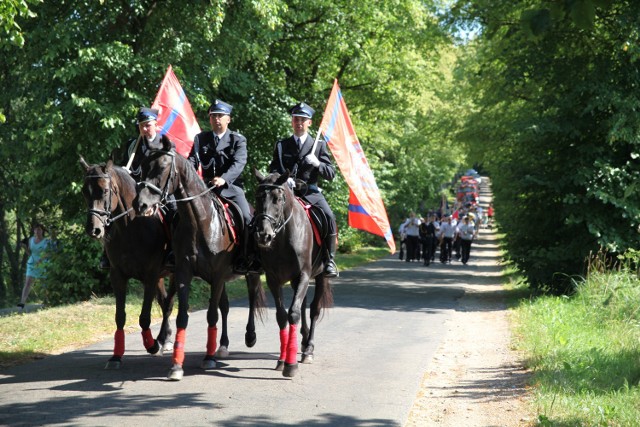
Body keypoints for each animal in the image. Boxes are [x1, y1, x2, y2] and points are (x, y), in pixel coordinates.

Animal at [80, 157, 176, 368]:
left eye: (105, 190)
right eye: (84, 191)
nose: (94, 229)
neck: (132, 227)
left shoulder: (150, 276)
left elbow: (145, 317)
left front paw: (151, 345)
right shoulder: (118, 275)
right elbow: (120, 316)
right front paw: (116, 356)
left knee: (169, 303)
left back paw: (162, 341)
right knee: (164, 302)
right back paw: (164, 338)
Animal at [134, 140, 266, 382]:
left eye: (162, 167)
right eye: (143, 166)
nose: (141, 205)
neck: (200, 221)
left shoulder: (218, 275)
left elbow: (211, 315)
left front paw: (208, 358)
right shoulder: (184, 273)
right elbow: (182, 317)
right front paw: (176, 365)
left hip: (248, 273)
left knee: (252, 298)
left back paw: (249, 336)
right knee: (225, 307)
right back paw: (222, 345)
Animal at [251, 170, 336, 378]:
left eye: (278, 198)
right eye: (258, 197)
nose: (263, 235)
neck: (282, 238)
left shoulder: (303, 275)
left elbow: (294, 313)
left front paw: (291, 365)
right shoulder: (273, 280)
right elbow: (282, 316)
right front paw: (282, 360)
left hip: (320, 277)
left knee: (313, 310)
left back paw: (308, 349)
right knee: (304, 306)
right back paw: (303, 342)